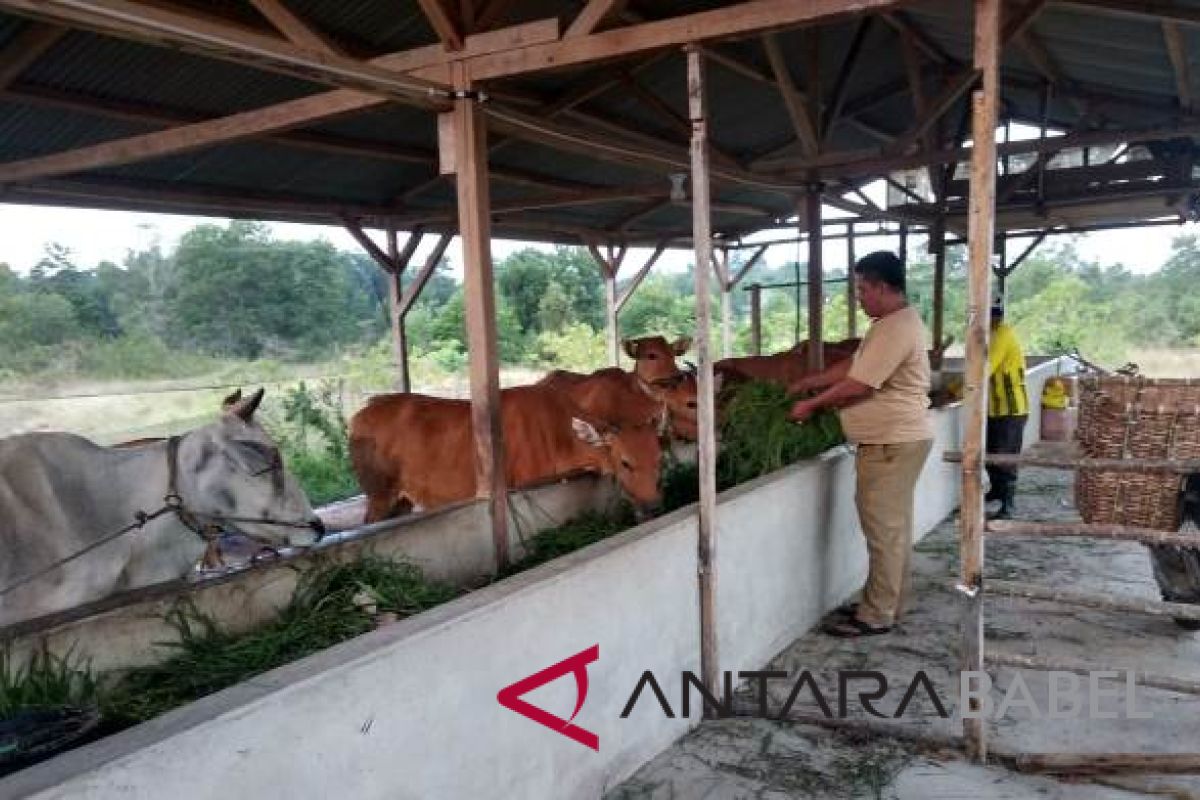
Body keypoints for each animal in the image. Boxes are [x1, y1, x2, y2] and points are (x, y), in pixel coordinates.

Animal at [348, 388, 667, 525]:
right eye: (625, 462)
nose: (653, 504)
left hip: (402, 497)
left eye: (659, 458)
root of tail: (358, 415)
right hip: (378, 493)